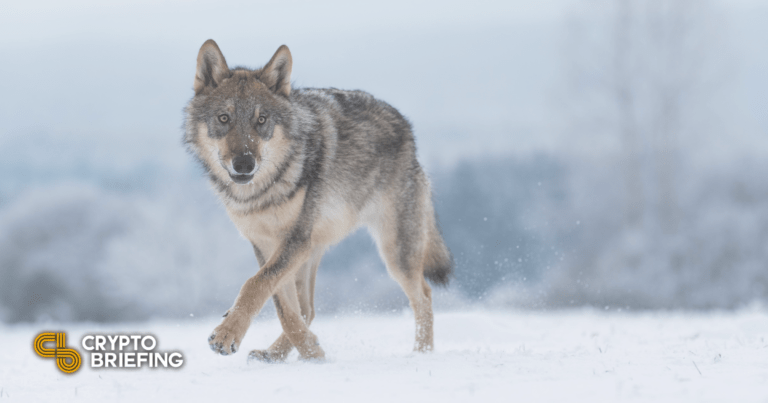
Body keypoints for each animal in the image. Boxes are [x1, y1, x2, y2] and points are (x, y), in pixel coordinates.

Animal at [184, 40, 452, 362]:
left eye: (261, 120)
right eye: (224, 118)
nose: (244, 164)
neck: (263, 193)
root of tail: (406, 127)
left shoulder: (295, 240)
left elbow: (255, 284)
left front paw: (226, 335)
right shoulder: (266, 244)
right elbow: (281, 305)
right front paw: (311, 351)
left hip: (394, 251)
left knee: (424, 296)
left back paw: (421, 354)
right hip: (314, 251)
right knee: (307, 309)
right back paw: (278, 353)